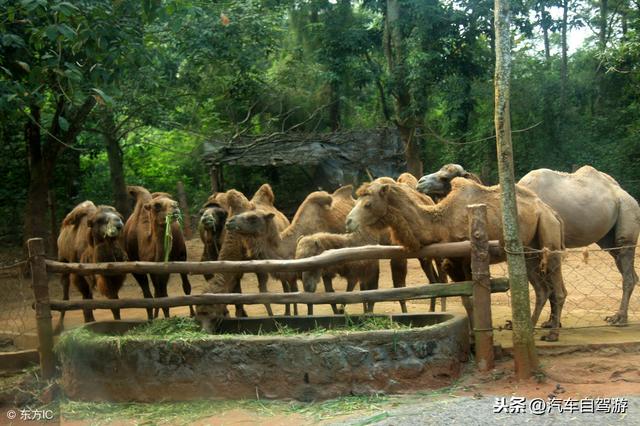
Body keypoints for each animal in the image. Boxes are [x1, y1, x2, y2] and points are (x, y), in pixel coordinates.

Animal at [122, 186, 192, 320]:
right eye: (157, 205)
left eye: (173, 202)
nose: (175, 205)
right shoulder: (138, 268)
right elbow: (149, 296)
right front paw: (152, 319)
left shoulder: (166, 266)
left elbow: (164, 296)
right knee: (156, 292)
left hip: (181, 256)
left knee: (185, 286)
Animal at [348, 178, 568, 342]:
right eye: (357, 200)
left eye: (368, 204)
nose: (348, 222)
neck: (440, 223)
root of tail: (553, 213)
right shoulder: (452, 265)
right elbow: (465, 301)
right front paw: (471, 334)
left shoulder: (464, 261)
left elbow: (471, 300)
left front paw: (476, 335)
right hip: (528, 250)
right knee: (541, 289)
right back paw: (529, 328)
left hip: (548, 234)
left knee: (557, 288)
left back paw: (552, 334)